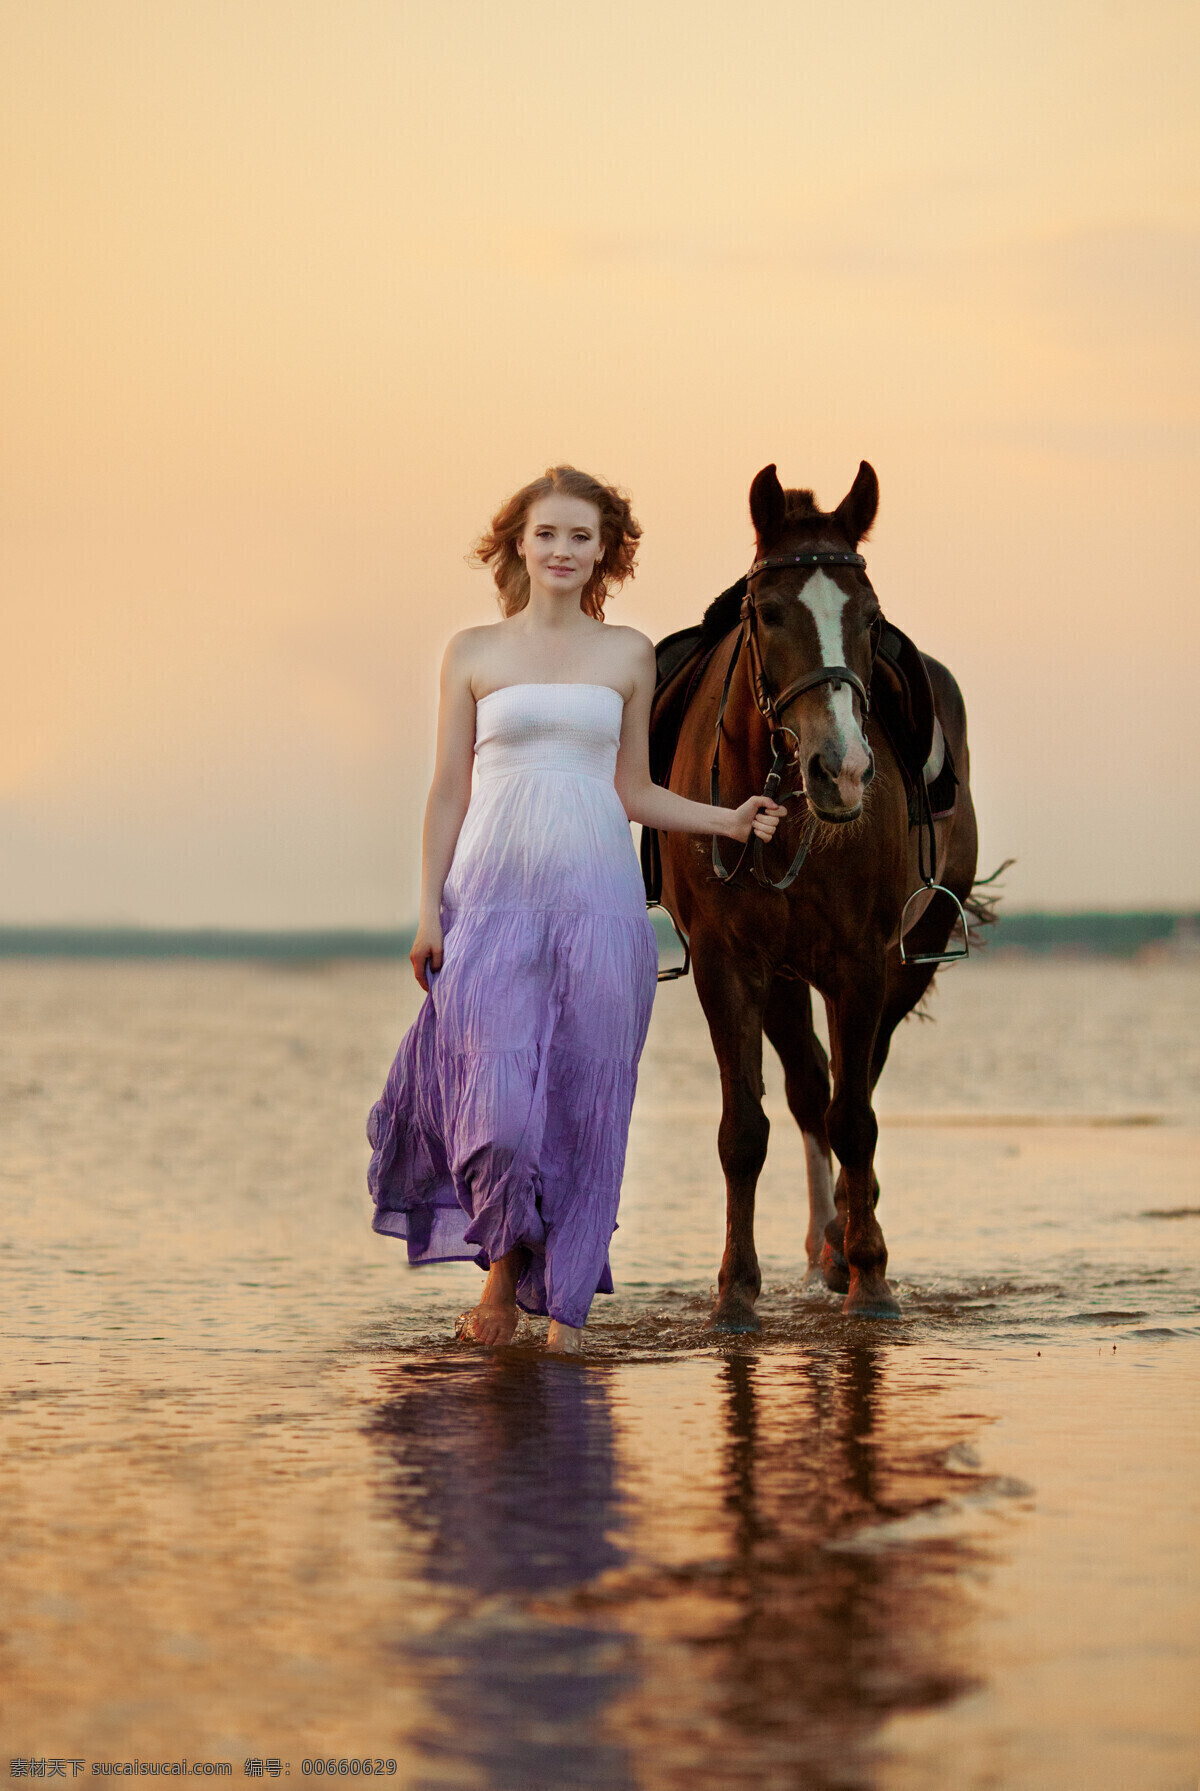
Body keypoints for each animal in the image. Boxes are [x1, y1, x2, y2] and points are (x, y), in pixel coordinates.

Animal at [659, 462, 988, 1332]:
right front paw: (736, 1291)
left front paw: (871, 1275)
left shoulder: (861, 962)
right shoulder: (730, 964)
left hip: (908, 959)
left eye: (868, 619)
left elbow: (856, 1115)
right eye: (770, 613)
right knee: (810, 1088)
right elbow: (746, 1128)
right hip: (781, 977)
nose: (842, 769)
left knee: (851, 1086)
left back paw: (848, 1237)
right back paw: (825, 1244)